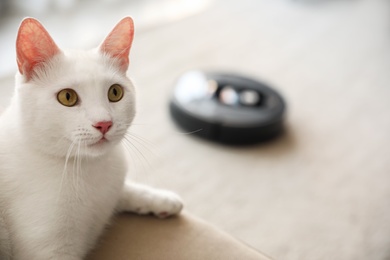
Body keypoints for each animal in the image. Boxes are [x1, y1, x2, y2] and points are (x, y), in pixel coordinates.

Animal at [0, 17, 183, 258]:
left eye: (115, 92)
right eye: (67, 97)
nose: (104, 123)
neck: (87, 167)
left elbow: (124, 190)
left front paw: (160, 199)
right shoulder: (48, 250)